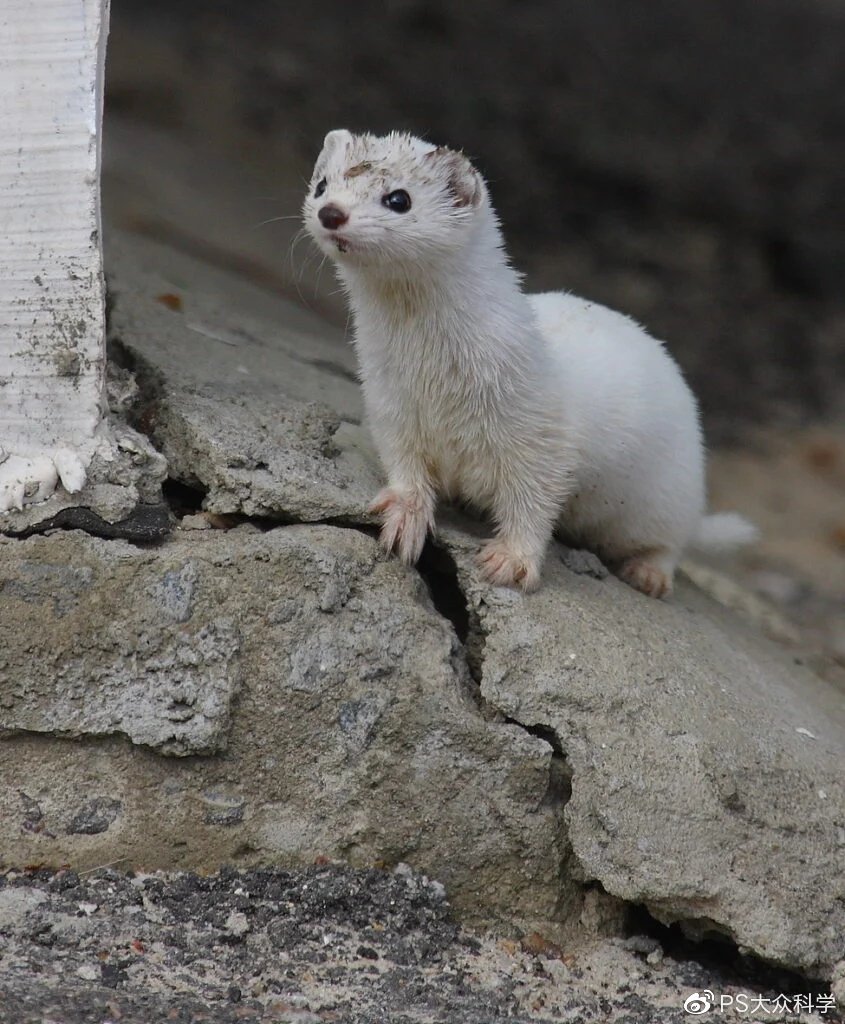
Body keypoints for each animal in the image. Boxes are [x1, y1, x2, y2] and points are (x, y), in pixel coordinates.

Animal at [301, 130, 749, 593]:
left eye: (398, 198)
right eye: (321, 186)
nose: (332, 213)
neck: (433, 379)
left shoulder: (542, 432)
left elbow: (534, 499)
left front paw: (511, 560)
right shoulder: (389, 405)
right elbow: (404, 466)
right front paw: (406, 516)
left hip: (667, 491)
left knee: (671, 541)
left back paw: (649, 573)